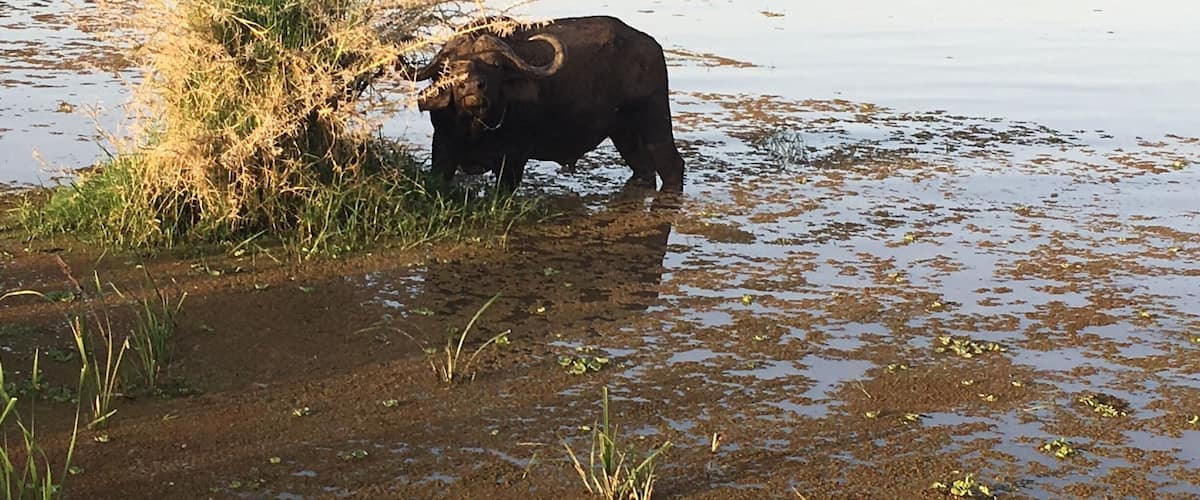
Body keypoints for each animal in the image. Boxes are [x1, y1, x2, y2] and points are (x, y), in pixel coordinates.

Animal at [406, 16, 685, 192]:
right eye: (448, 67)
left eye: (495, 64)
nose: (472, 87)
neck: (477, 128)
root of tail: (651, 46)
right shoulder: (442, 148)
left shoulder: (513, 159)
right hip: (623, 132)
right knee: (644, 170)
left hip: (655, 119)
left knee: (672, 165)